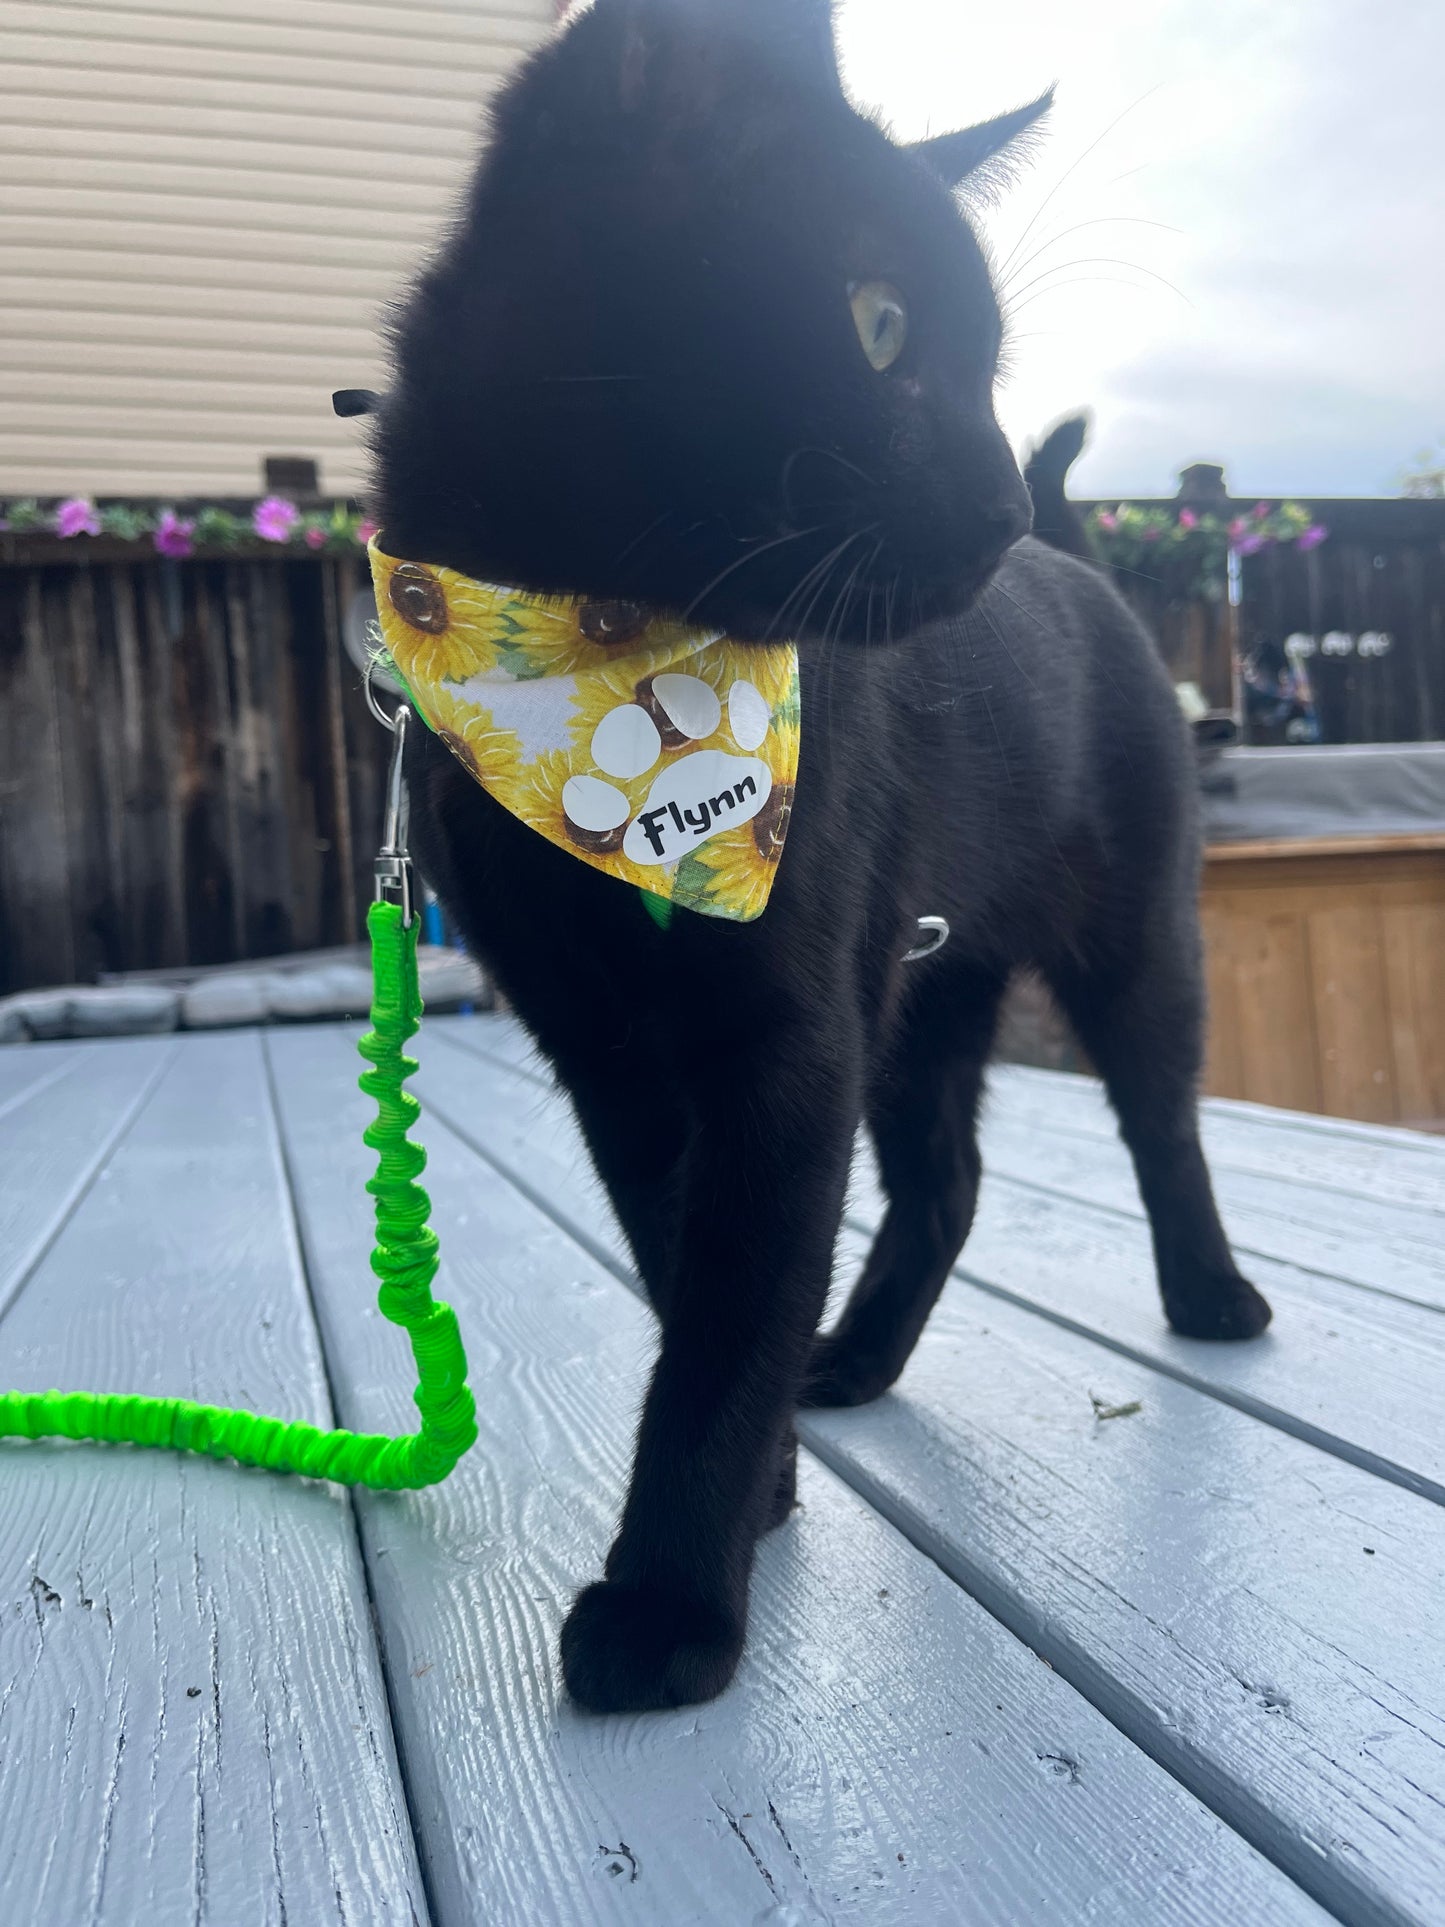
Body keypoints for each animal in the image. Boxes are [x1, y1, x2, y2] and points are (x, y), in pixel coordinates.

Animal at [369, 0, 1263, 1718]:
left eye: (986, 363)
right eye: (879, 326)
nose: (997, 499)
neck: (597, 660)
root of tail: (1082, 555)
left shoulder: (790, 1028)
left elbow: (732, 1287)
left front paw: (668, 1596)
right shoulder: (606, 1051)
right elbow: (683, 1260)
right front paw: (762, 1483)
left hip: (1123, 930)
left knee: (1160, 1113)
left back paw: (1210, 1296)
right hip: (926, 972)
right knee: (948, 1176)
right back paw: (852, 1354)